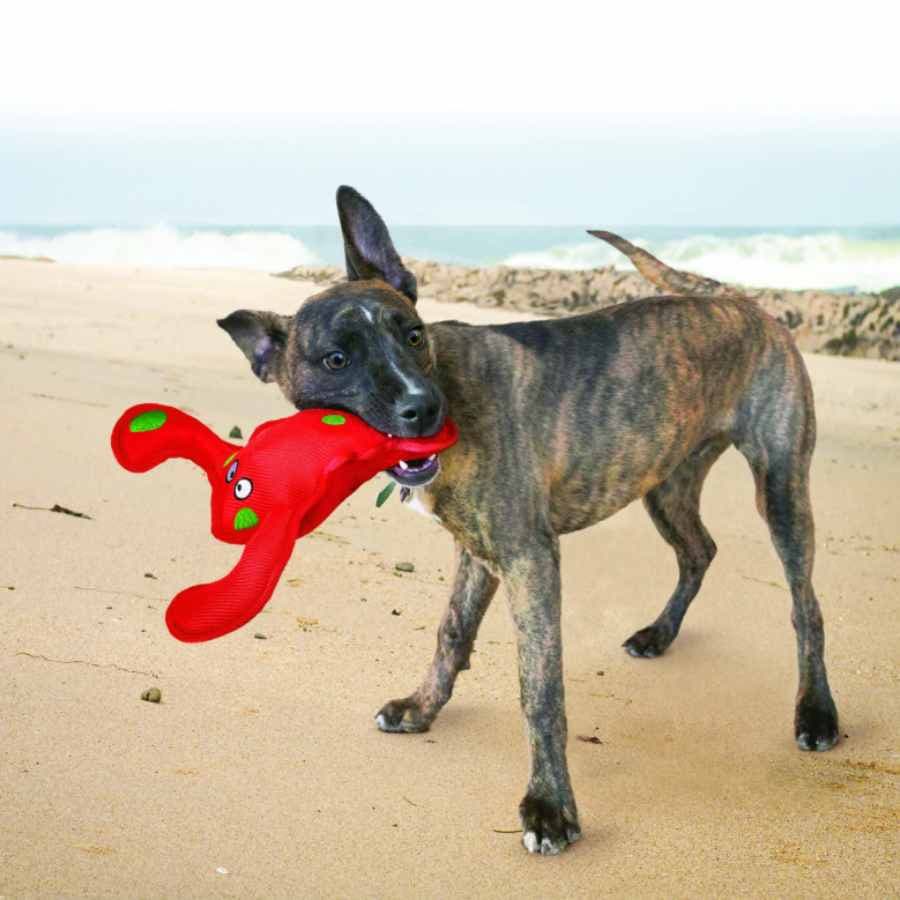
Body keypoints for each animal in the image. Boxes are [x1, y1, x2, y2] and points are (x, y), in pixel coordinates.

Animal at [221, 186, 840, 856]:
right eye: (336, 359)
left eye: (413, 335)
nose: (423, 408)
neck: (453, 385)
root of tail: (737, 299)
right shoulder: (478, 554)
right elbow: (451, 633)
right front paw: (422, 708)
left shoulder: (529, 560)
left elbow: (539, 691)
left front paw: (549, 806)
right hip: (665, 483)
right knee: (699, 550)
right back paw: (659, 634)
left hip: (781, 489)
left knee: (805, 606)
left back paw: (817, 711)